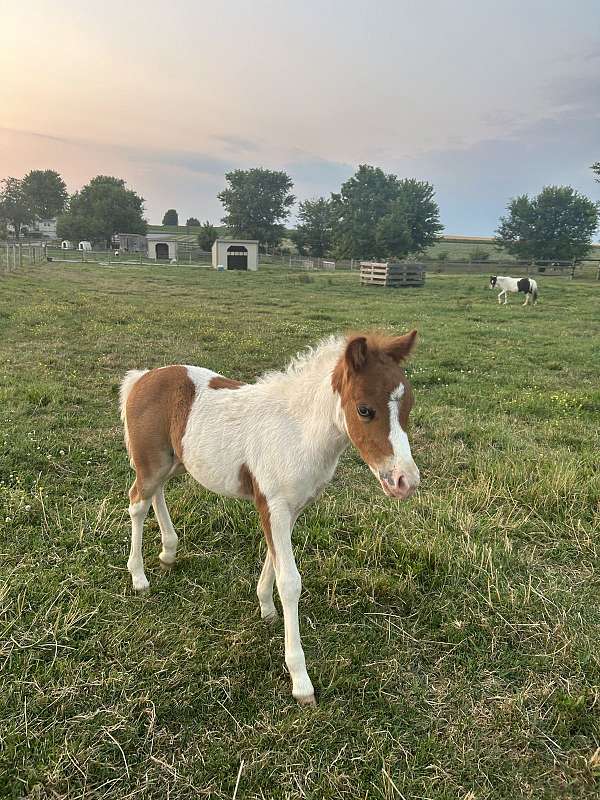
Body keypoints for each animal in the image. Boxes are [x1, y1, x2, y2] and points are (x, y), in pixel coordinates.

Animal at [120, 330, 420, 705]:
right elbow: (289, 581)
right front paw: (301, 681)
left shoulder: (289, 508)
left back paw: (169, 552)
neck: (298, 432)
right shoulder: (273, 505)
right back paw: (139, 577)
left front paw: (265, 609)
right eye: (365, 410)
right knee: (137, 502)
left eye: (408, 407)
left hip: (172, 460)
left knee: (154, 494)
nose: (405, 481)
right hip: (151, 459)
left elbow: (273, 561)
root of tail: (141, 377)